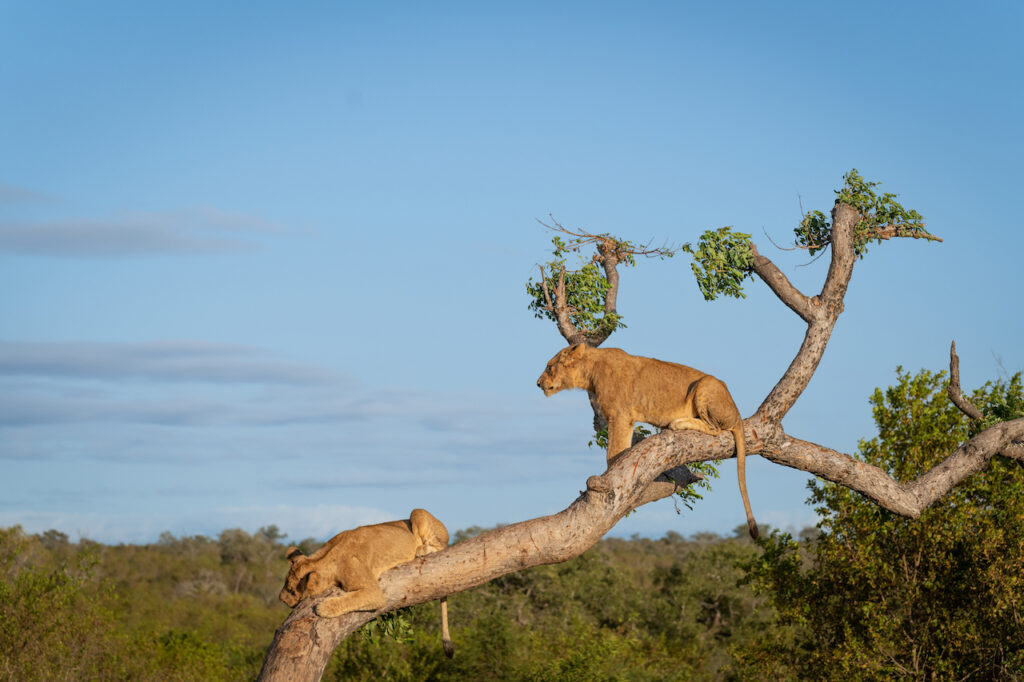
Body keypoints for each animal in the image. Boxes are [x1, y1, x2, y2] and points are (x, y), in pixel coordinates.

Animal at [279, 508, 454, 657]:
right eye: (285, 585)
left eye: (291, 591)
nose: (281, 599)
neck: (325, 558)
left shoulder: (373, 592)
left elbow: (351, 599)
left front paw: (323, 607)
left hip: (418, 512)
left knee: (439, 547)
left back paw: (420, 551)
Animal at [537, 344, 758, 539]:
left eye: (549, 366)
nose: (538, 383)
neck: (590, 372)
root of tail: (737, 411)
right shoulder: (624, 419)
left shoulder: (620, 416)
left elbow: (613, 453)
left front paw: (612, 479)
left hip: (705, 385)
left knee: (715, 428)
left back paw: (677, 423)